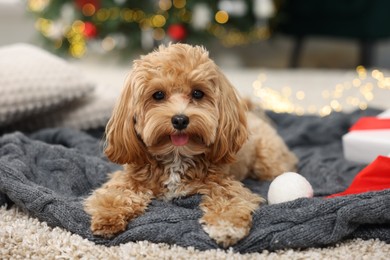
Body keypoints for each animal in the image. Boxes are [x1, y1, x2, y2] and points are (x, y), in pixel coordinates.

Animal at [85, 43, 298, 248]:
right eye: (158, 95)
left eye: (197, 93)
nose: (180, 120)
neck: (176, 156)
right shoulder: (130, 178)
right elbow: (116, 194)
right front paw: (107, 217)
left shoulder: (224, 184)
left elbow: (229, 201)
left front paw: (226, 226)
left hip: (268, 162)